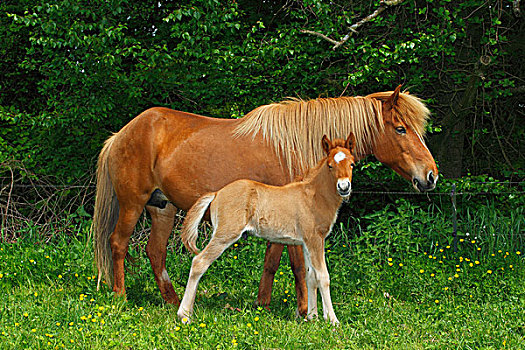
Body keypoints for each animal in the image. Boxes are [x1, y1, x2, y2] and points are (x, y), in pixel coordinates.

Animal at [177, 134, 356, 326]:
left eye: (352, 163)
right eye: (330, 165)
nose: (344, 187)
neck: (313, 196)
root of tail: (217, 193)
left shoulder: (306, 243)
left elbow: (311, 277)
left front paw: (311, 317)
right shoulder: (316, 239)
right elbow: (323, 277)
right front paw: (332, 320)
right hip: (224, 235)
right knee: (199, 262)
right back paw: (184, 315)